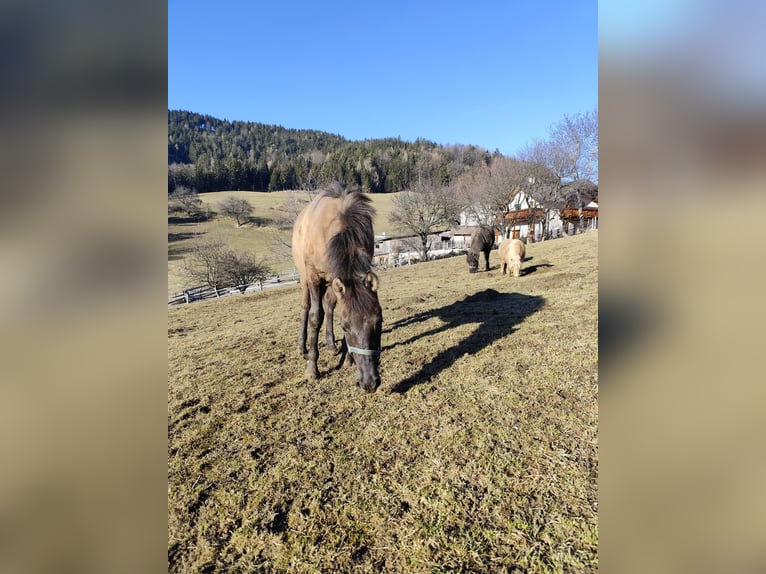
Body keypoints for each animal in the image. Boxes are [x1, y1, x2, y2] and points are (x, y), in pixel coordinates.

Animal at [292, 184, 384, 392]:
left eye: (379, 322)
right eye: (345, 326)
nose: (369, 382)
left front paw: (347, 359)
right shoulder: (313, 276)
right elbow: (315, 317)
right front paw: (312, 369)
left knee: (329, 306)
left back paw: (331, 344)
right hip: (304, 278)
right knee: (306, 308)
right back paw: (302, 346)